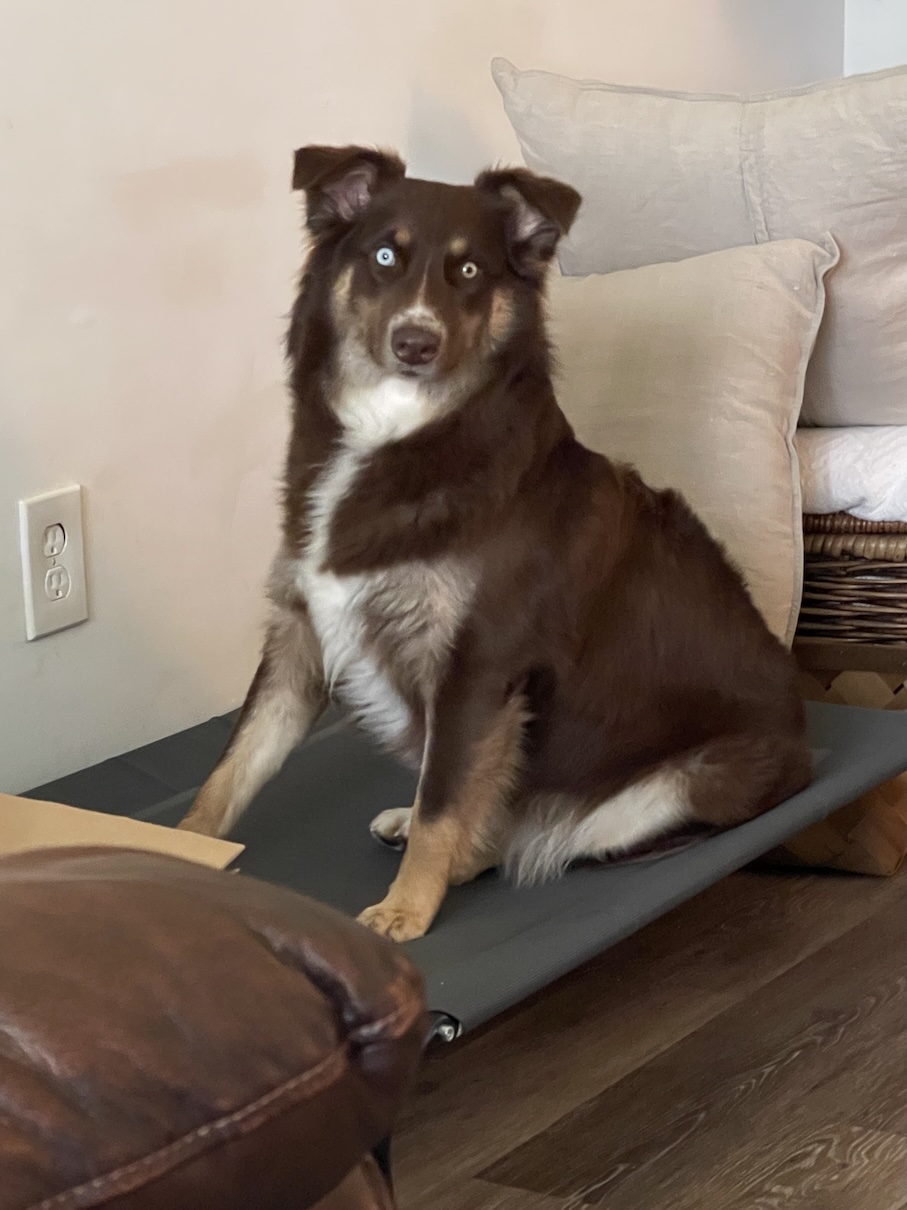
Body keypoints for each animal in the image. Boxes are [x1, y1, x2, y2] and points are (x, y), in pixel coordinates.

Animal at [178, 144, 812, 941]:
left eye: (470, 270)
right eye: (384, 255)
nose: (416, 342)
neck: (403, 432)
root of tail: (806, 736)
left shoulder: (478, 664)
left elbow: (446, 804)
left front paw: (405, 909)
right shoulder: (301, 633)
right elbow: (233, 765)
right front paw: (171, 851)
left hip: (670, 788)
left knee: (529, 831)